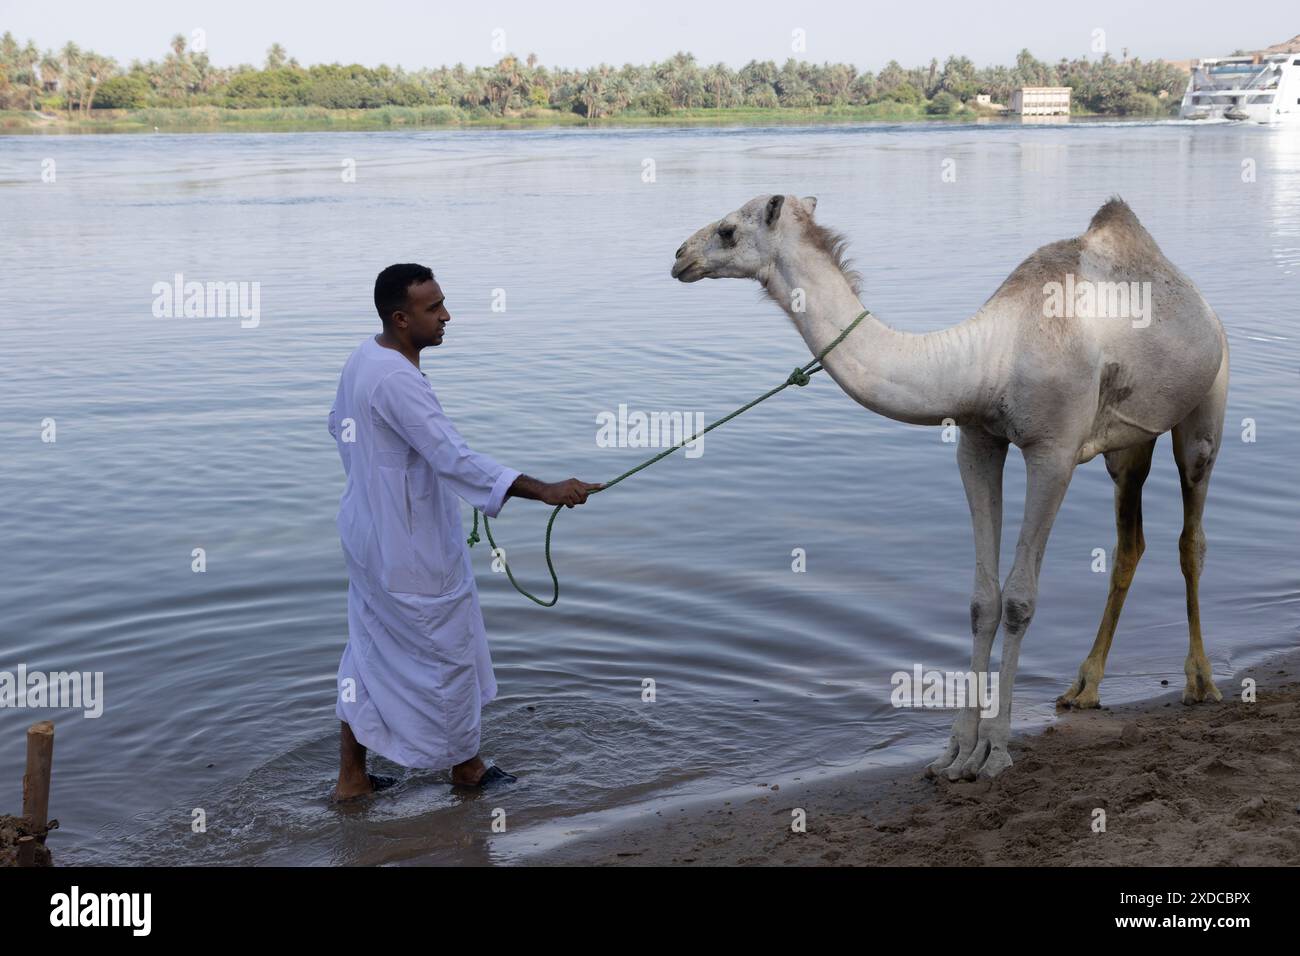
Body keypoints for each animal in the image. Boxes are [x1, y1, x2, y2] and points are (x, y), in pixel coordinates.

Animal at [670, 192, 1227, 780]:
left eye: (728, 230)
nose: (680, 256)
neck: (987, 359)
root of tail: (1200, 303)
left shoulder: (1052, 452)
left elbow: (1019, 599)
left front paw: (996, 751)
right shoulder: (977, 440)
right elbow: (983, 601)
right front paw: (957, 751)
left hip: (1207, 405)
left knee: (1191, 533)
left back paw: (1201, 681)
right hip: (1129, 441)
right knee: (1129, 542)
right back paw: (1084, 688)